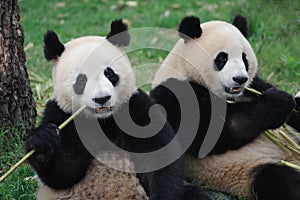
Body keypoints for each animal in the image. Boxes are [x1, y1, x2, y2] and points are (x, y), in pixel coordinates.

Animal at [24, 19, 212, 200]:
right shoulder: (62, 114)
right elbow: (65, 173)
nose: (101, 99)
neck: (104, 120)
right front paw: (41, 145)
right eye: (81, 81)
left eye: (109, 73)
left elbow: (160, 156)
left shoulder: (136, 108)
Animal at [151, 14, 300, 199]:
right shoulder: (173, 94)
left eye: (244, 58)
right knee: (277, 179)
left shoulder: (253, 86)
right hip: (251, 170)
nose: (240, 79)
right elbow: (219, 130)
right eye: (222, 58)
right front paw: (280, 101)